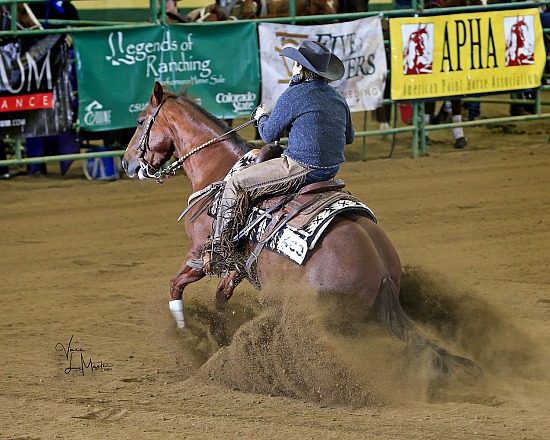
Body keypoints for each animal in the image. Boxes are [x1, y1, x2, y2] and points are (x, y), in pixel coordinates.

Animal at [122, 81, 484, 378]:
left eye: (139, 121)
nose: (126, 163)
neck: (219, 170)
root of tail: (381, 275)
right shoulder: (238, 265)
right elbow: (221, 297)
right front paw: (218, 334)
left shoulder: (200, 254)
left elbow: (175, 286)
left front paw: (186, 335)